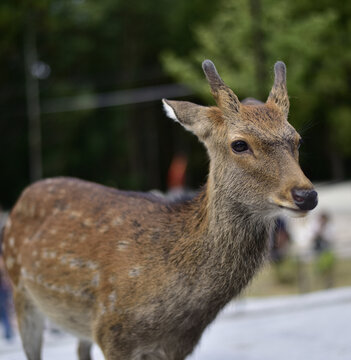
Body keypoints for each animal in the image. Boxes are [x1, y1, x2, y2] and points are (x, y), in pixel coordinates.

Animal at [0, 60, 320, 358]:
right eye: (239, 144)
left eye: (298, 140)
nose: (306, 195)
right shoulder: (111, 330)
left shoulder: (178, 345)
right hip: (20, 292)